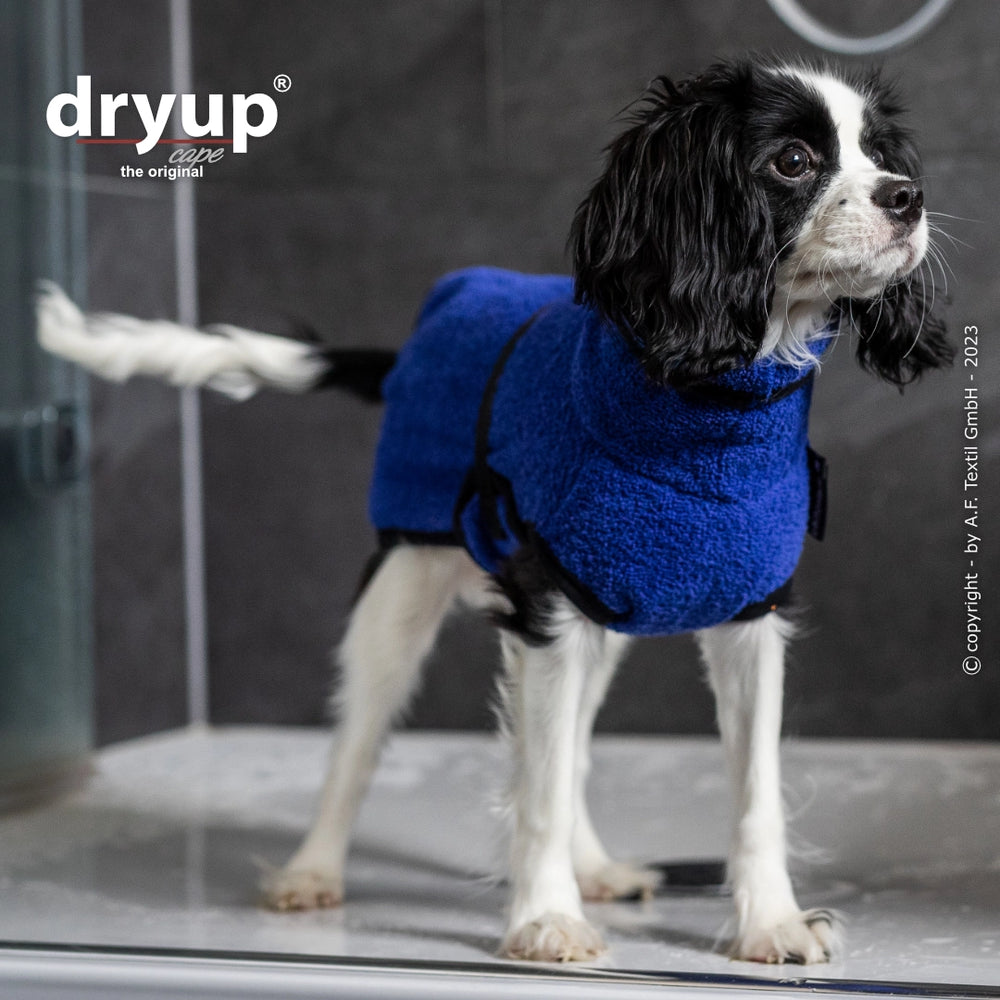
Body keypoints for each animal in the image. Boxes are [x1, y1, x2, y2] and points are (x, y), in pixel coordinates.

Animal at [38, 56, 952, 964]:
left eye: (880, 153)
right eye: (792, 162)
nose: (907, 196)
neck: (705, 409)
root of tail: (416, 346)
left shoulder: (744, 616)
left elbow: (750, 788)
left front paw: (769, 921)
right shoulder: (545, 609)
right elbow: (534, 785)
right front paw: (544, 918)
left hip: (599, 618)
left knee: (570, 748)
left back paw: (594, 867)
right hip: (404, 596)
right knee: (357, 746)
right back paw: (312, 869)